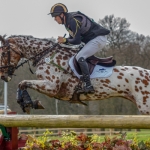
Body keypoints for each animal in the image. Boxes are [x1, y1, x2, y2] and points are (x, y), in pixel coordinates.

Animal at [0, 34, 149, 115]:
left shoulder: (51, 87)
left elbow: (23, 83)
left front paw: (28, 103)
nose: (3, 76)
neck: (46, 55)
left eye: (3, 53)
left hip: (145, 106)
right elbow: (22, 84)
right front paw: (27, 103)